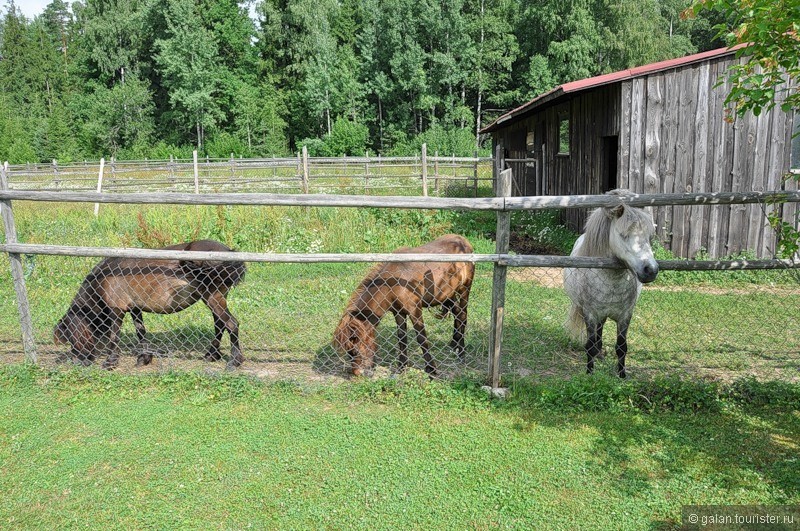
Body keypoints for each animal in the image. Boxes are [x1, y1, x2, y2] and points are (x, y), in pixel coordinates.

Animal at [54, 240, 245, 370]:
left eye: (70, 336)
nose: (77, 361)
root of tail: (228, 252)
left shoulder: (116, 310)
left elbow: (114, 336)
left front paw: (111, 362)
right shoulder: (134, 308)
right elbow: (141, 332)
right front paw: (144, 358)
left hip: (212, 297)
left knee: (231, 324)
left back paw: (234, 361)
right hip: (214, 298)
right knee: (220, 325)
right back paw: (212, 355)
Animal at [332, 234, 476, 378]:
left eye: (354, 351)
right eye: (349, 352)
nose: (358, 373)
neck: (393, 283)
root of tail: (463, 241)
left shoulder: (415, 311)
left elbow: (421, 338)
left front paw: (431, 370)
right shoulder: (398, 312)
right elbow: (401, 338)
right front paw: (401, 367)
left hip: (464, 289)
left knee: (462, 315)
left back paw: (461, 352)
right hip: (448, 295)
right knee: (457, 314)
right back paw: (454, 344)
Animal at [564, 190, 656, 378]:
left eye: (649, 237)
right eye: (623, 235)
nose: (651, 270)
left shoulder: (625, 316)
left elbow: (621, 347)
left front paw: (622, 375)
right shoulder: (590, 314)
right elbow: (590, 345)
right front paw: (589, 373)